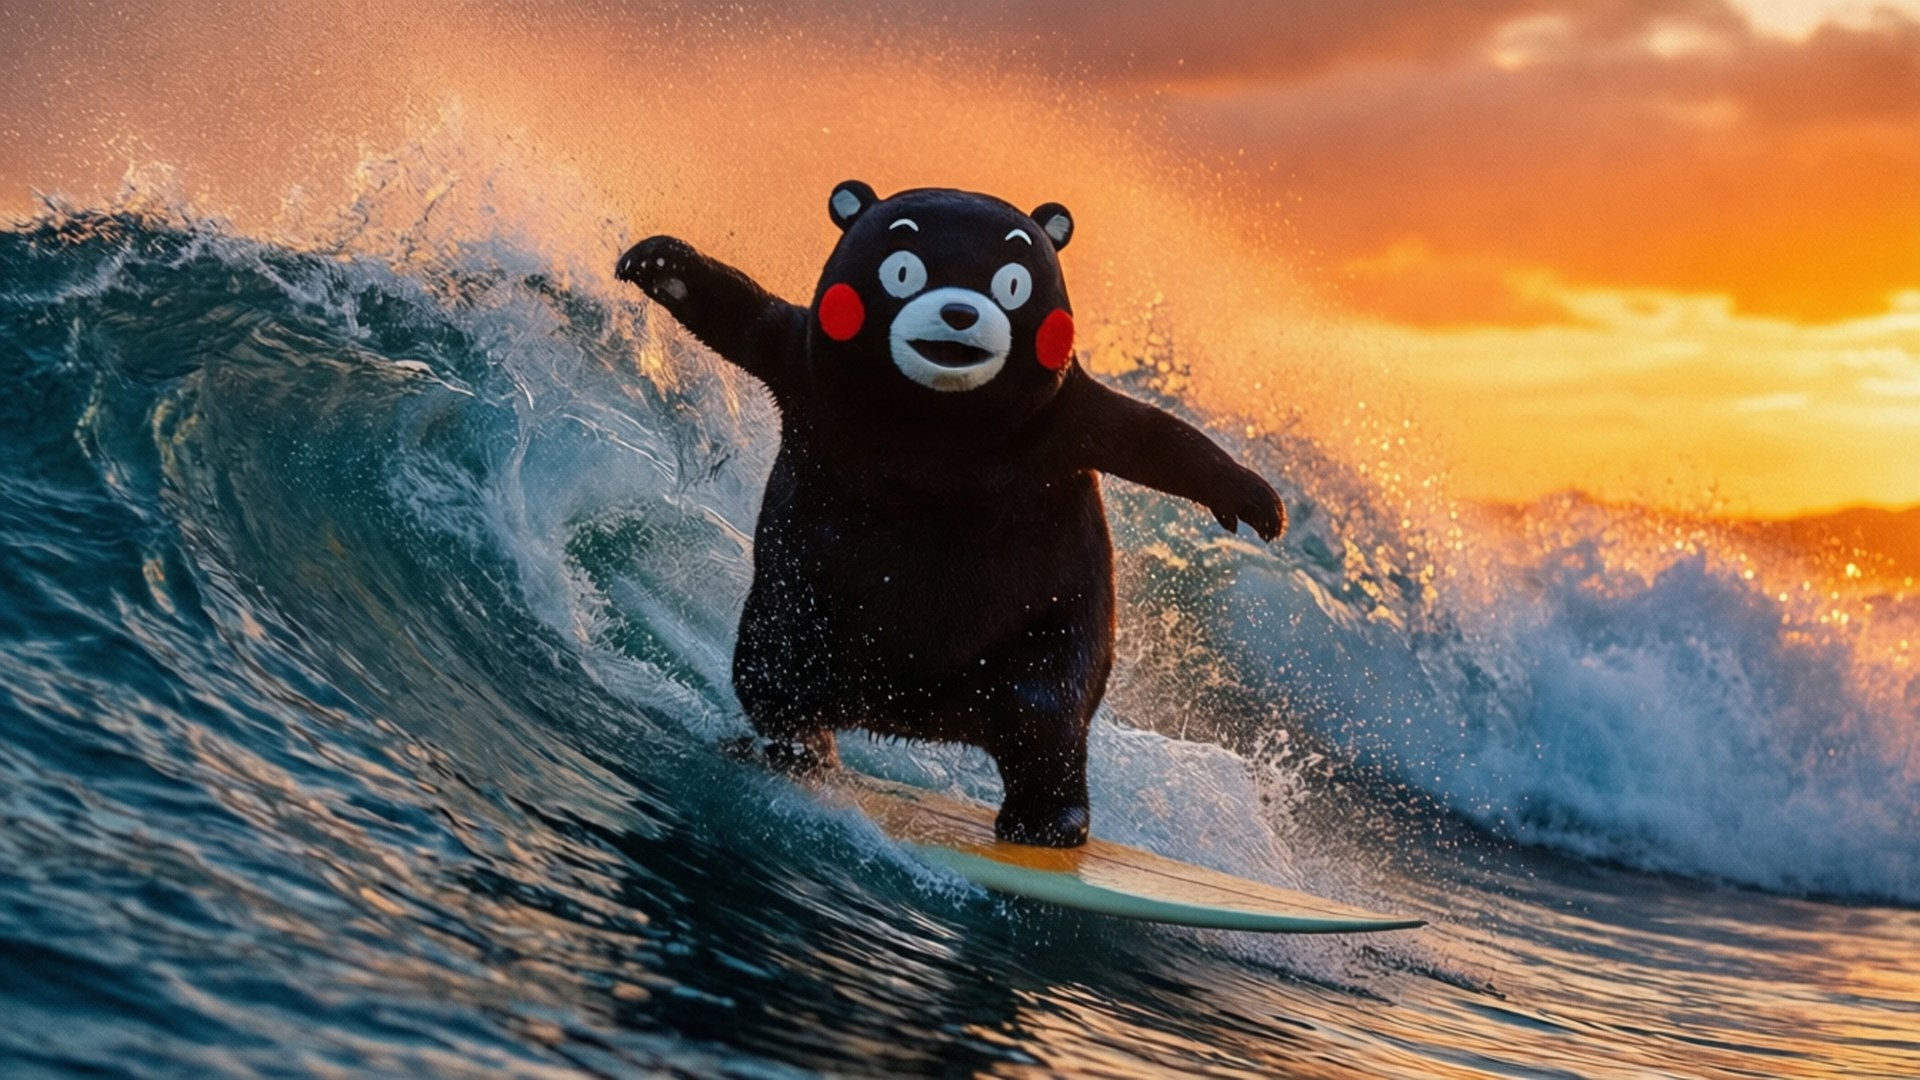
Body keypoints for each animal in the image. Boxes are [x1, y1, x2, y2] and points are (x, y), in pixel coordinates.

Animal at [616, 181, 1285, 847]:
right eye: (901, 270)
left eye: (1013, 282)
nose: (960, 313)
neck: (939, 430)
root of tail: (912, 716)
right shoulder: (807, 368)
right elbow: (741, 317)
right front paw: (656, 259)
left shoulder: (1065, 422)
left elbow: (1154, 440)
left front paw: (1257, 503)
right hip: (798, 620)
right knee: (776, 675)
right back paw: (801, 753)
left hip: (1044, 638)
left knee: (1044, 714)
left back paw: (1049, 821)